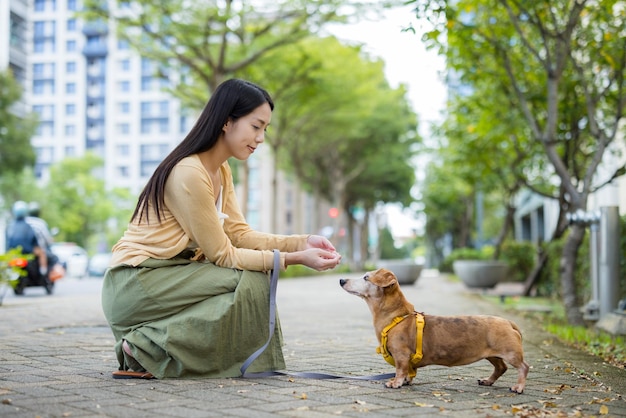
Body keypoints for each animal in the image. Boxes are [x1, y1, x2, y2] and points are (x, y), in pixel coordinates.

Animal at [342, 268, 528, 392]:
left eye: (366, 277)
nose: (341, 280)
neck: (397, 317)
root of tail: (509, 322)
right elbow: (408, 371)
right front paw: (407, 380)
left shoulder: (401, 354)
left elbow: (400, 369)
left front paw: (396, 382)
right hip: (493, 355)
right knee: (501, 368)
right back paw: (488, 381)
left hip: (510, 353)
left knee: (523, 367)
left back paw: (518, 387)